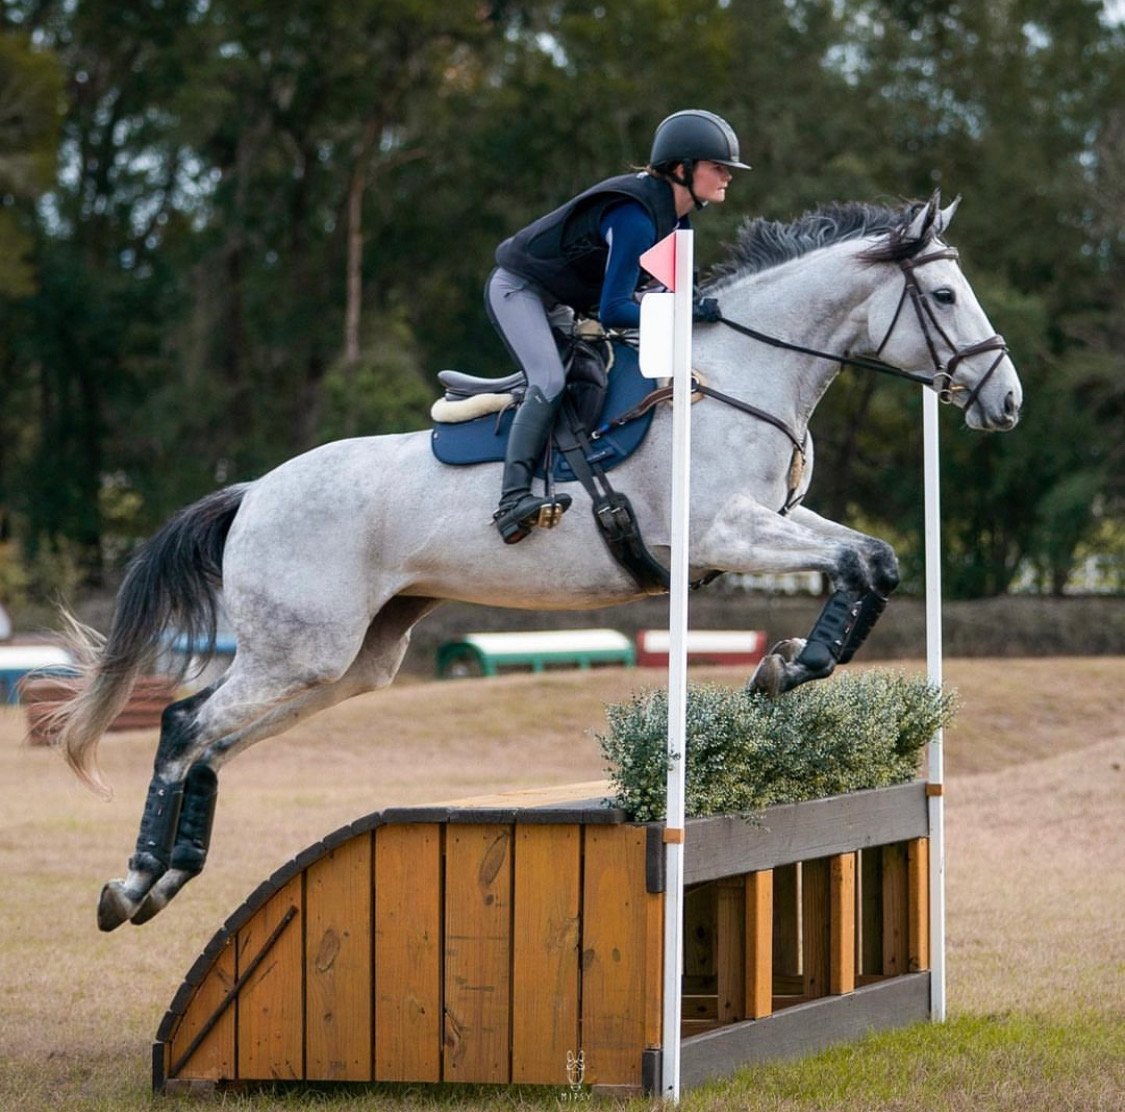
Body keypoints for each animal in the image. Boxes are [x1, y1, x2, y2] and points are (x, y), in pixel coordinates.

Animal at [51, 190, 1021, 930]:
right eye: (942, 296)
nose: (1005, 401)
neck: (736, 380)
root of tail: (253, 492)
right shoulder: (716, 532)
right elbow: (864, 560)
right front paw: (789, 666)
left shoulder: (766, 522)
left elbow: (871, 561)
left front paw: (783, 667)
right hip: (301, 649)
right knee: (185, 725)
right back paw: (133, 883)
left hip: (353, 661)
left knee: (212, 741)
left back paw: (170, 877)